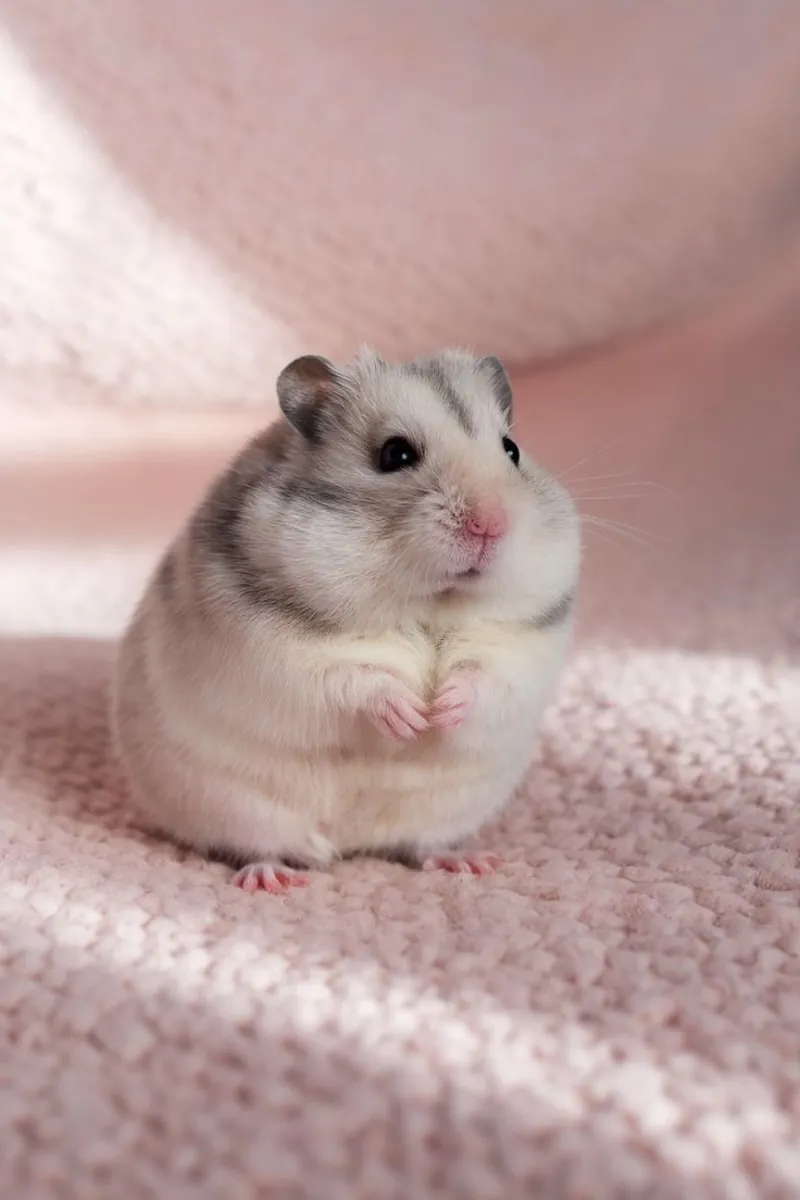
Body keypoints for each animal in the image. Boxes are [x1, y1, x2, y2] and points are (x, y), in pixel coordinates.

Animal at [111, 349, 580, 892]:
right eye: (395, 455)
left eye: (511, 450)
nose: (491, 524)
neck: (427, 605)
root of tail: (352, 845)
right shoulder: (281, 657)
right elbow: (356, 680)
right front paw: (411, 715)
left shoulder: (521, 647)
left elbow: (482, 678)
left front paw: (438, 711)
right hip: (234, 806)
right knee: (258, 846)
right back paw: (273, 880)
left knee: (421, 844)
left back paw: (468, 863)